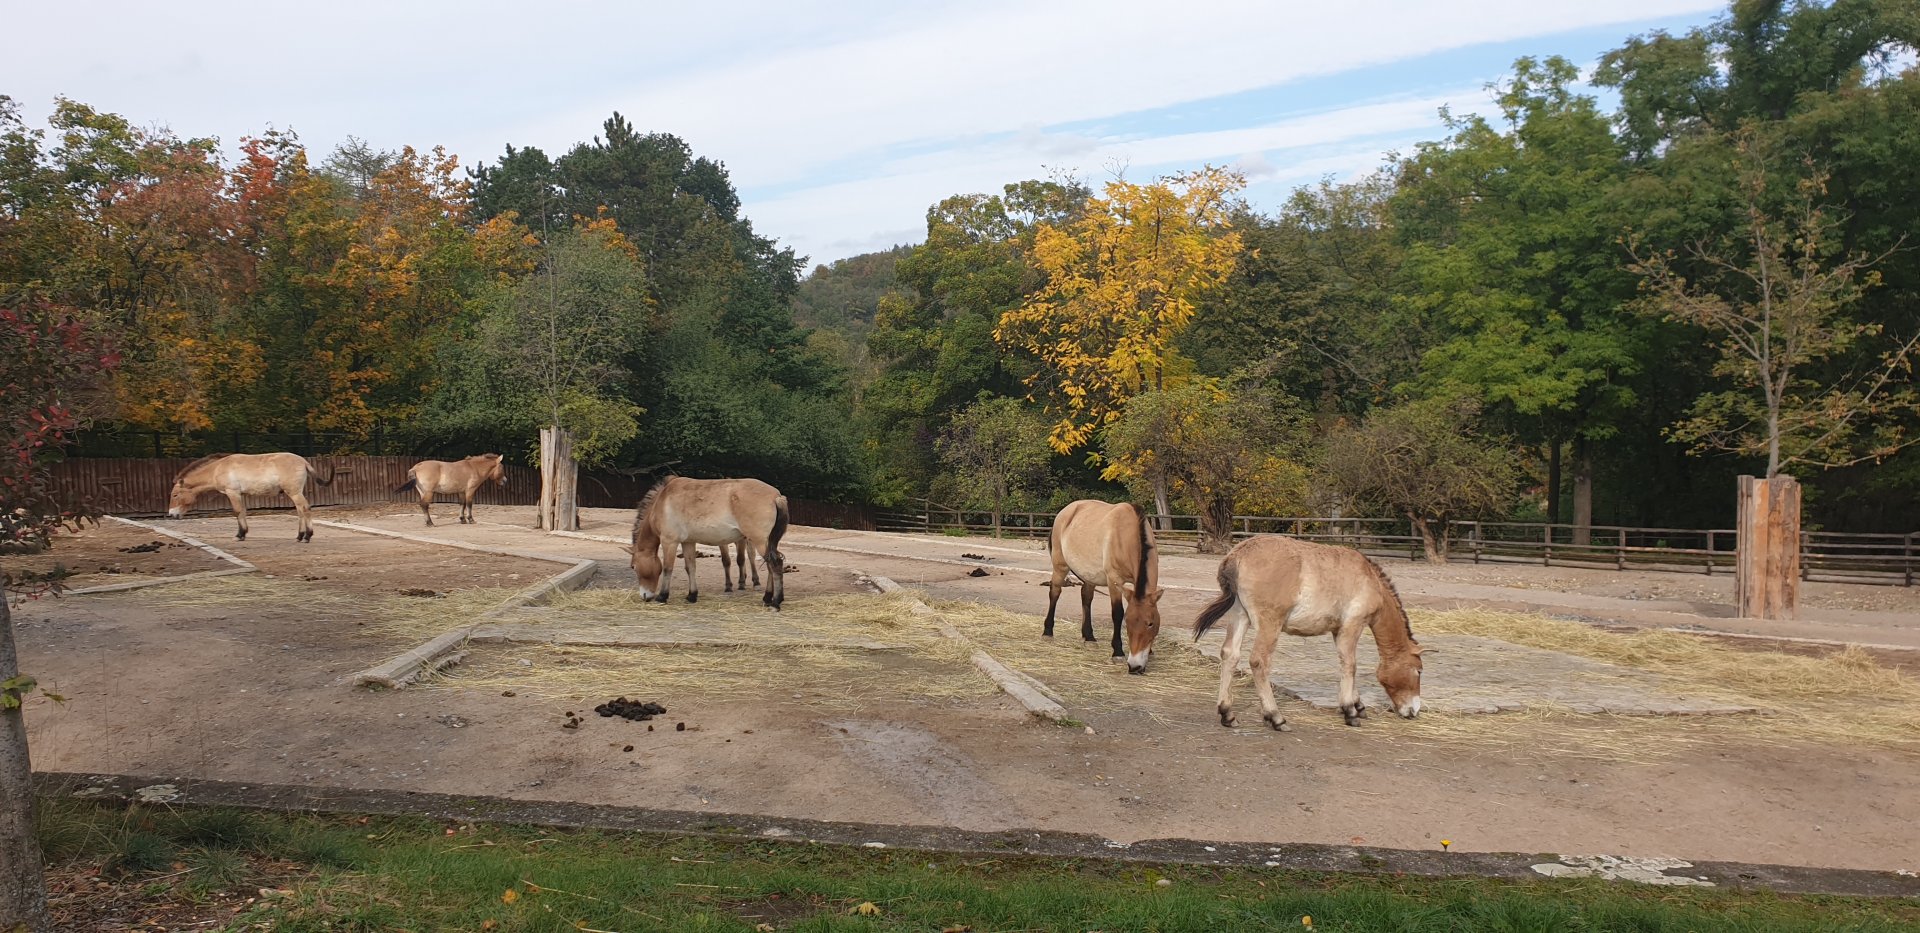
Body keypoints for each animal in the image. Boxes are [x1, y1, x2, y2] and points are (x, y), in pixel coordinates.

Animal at [166, 452, 336, 542]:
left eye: (175, 495)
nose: (172, 514)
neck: (218, 468)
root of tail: (303, 461)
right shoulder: (241, 494)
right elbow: (243, 512)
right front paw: (243, 533)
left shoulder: (232, 492)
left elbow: (237, 512)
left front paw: (239, 535)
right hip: (294, 493)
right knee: (300, 511)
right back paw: (299, 536)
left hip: (294, 493)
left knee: (305, 509)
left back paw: (307, 536)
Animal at [631, 476, 788, 608]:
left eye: (634, 567)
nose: (645, 596)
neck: (663, 500)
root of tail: (776, 496)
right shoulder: (688, 542)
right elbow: (690, 568)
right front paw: (692, 595)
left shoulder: (669, 542)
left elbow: (667, 569)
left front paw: (662, 597)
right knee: (770, 567)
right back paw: (767, 598)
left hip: (759, 541)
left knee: (775, 565)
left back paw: (775, 602)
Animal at [1043, 499, 1164, 674]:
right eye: (1128, 622)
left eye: (1150, 623)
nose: (1135, 666)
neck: (1128, 535)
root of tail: (1064, 512)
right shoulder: (1114, 580)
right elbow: (1117, 613)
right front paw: (1118, 652)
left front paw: (1151, 651)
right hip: (1060, 567)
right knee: (1055, 593)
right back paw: (1047, 632)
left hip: (1088, 575)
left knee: (1086, 598)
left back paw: (1089, 637)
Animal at [1193, 535, 1423, 730]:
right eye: (1419, 671)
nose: (1413, 710)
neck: (1370, 580)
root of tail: (1237, 555)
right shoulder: (1353, 625)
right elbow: (1351, 665)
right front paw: (1350, 711)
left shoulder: (1338, 630)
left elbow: (1344, 662)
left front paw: (1357, 705)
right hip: (1269, 624)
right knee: (1259, 661)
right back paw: (1275, 717)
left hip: (1240, 615)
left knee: (1229, 654)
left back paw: (1227, 713)